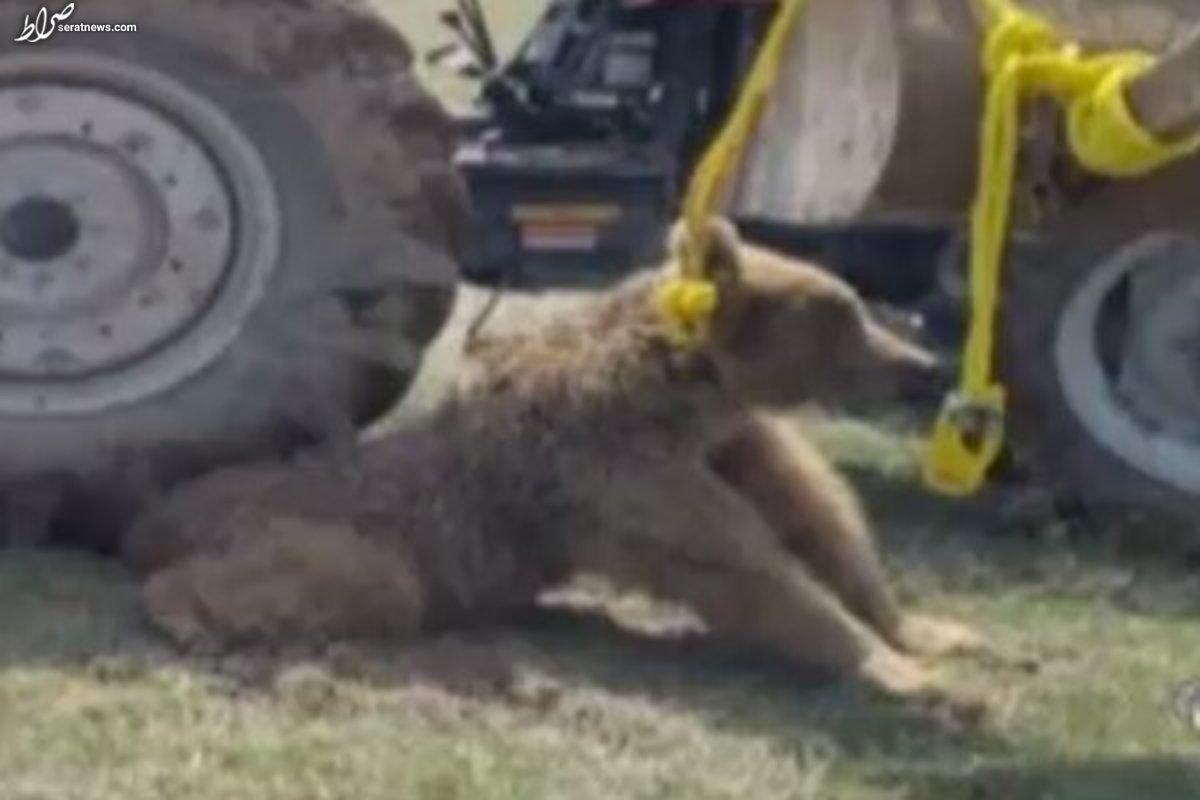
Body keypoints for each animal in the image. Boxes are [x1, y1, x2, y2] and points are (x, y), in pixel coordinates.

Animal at [121, 215, 984, 705]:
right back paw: (187, 615)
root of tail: (155, 511)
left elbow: (823, 525)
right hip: (324, 527)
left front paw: (928, 635)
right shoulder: (619, 474)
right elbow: (745, 569)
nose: (924, 366)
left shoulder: (732, 448)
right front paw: (903, 674)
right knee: (360, 579)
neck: (684, 399)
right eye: (841, 310)